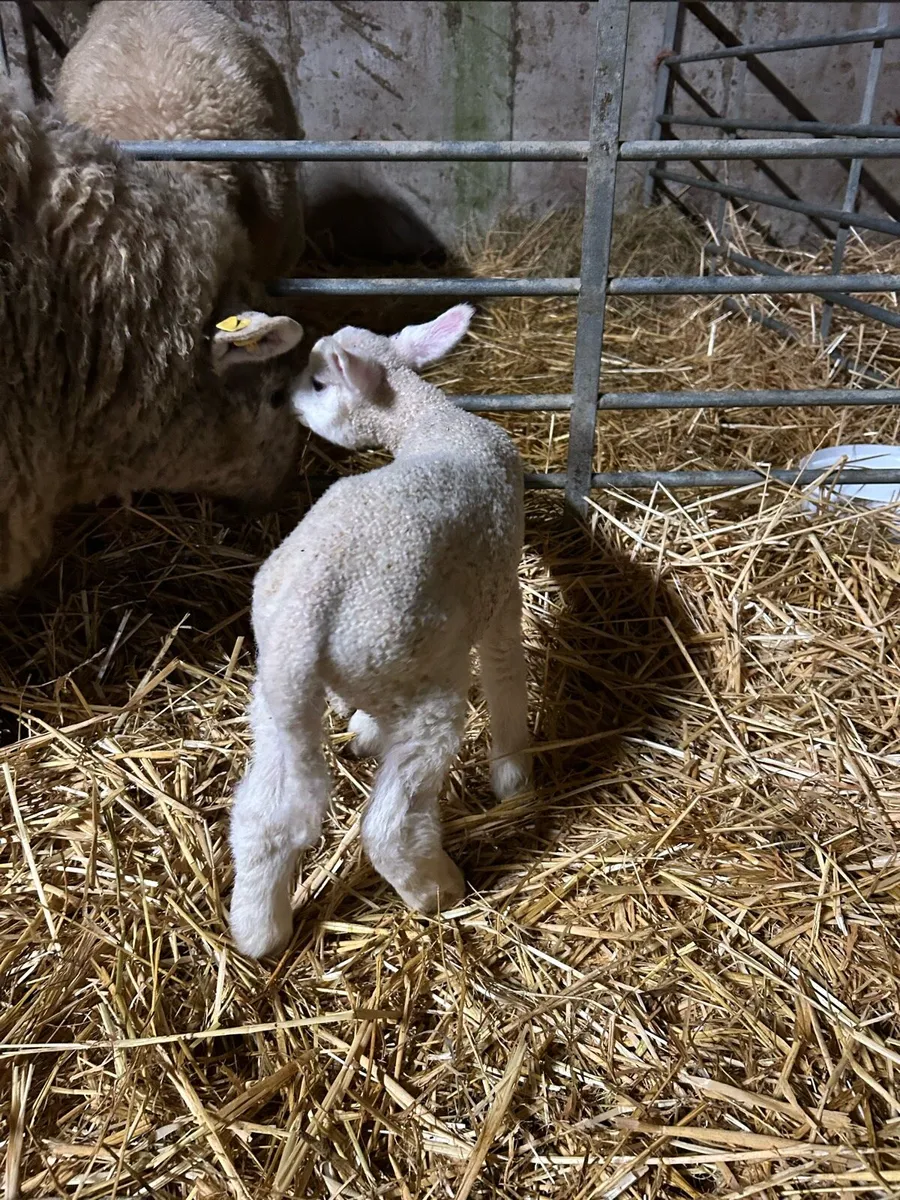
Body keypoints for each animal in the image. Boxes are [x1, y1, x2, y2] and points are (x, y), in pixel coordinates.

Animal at [228, 304, 531, 959]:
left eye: (319, 383)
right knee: (389, 827)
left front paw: (365, 729)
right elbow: (505, 674)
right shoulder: (501, 587)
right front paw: (513, 773)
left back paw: (258, 931)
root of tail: (306, 615)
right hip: (418, 685)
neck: (429, 424)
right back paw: (437, 889)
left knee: (267, 817)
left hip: (279, 696)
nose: (286, 400)